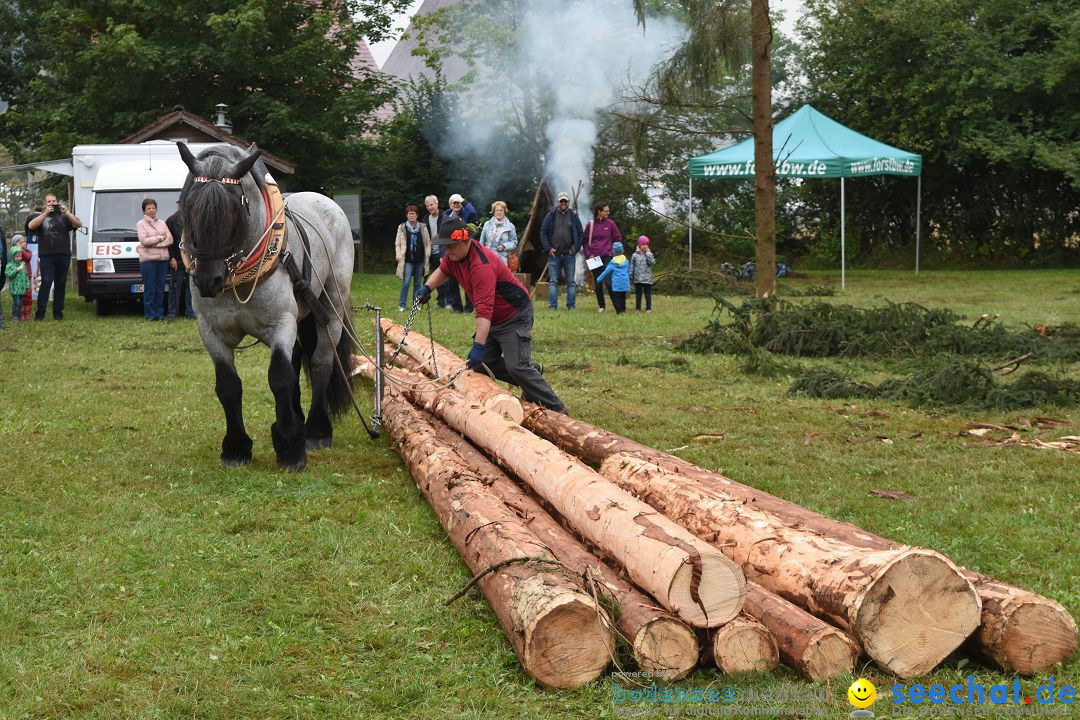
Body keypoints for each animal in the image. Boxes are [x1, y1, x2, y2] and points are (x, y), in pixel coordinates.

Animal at [179, 144, 356, 472]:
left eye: (235, 209)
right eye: (188, 204)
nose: (208, 280)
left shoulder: (281, 323)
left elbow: (279, 377)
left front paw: (289, 447)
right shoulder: (212, 332)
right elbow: (228, 386)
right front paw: (236, 447)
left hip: (331, 307)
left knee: (321, 361)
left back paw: (316, 430)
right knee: (298, 359)